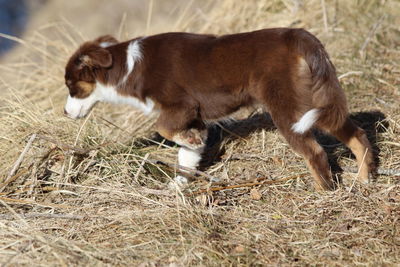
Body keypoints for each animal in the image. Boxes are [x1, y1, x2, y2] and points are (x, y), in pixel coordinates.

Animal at [63, 28, 376, 191]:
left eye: (70, 86)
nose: (65, 113)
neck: (128, 66)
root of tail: (300, 37)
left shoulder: (182, 105)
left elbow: (163, 128)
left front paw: (188, 143)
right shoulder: (196, 118)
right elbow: (186, 157)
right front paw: (179, 185)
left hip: (289, 110)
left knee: (316, 152)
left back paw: (324, 191)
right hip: (317, 102)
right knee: (357, 135)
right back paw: (364, 180)